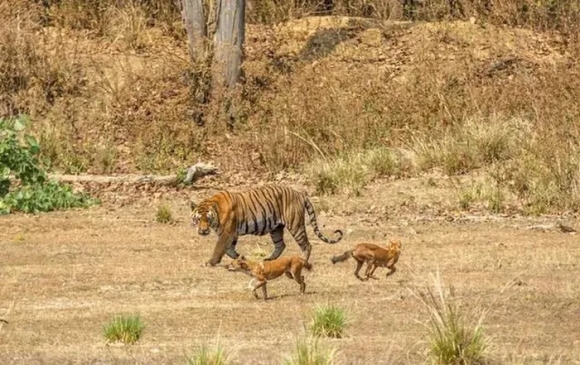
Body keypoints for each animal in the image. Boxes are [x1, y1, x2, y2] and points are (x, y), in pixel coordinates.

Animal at [190, 185, 344, 264]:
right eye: (198, 219)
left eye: (207, 219)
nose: (203, 231)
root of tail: (300, 193)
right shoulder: (231, 234)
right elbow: (229, 249)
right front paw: (240, 257)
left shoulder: (227, 233)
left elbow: (220, 248)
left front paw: (211, 262)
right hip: (276, 228)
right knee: (281, 245)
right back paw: (269, 259)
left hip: (295, 225)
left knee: (307, 245)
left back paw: (302, 260)